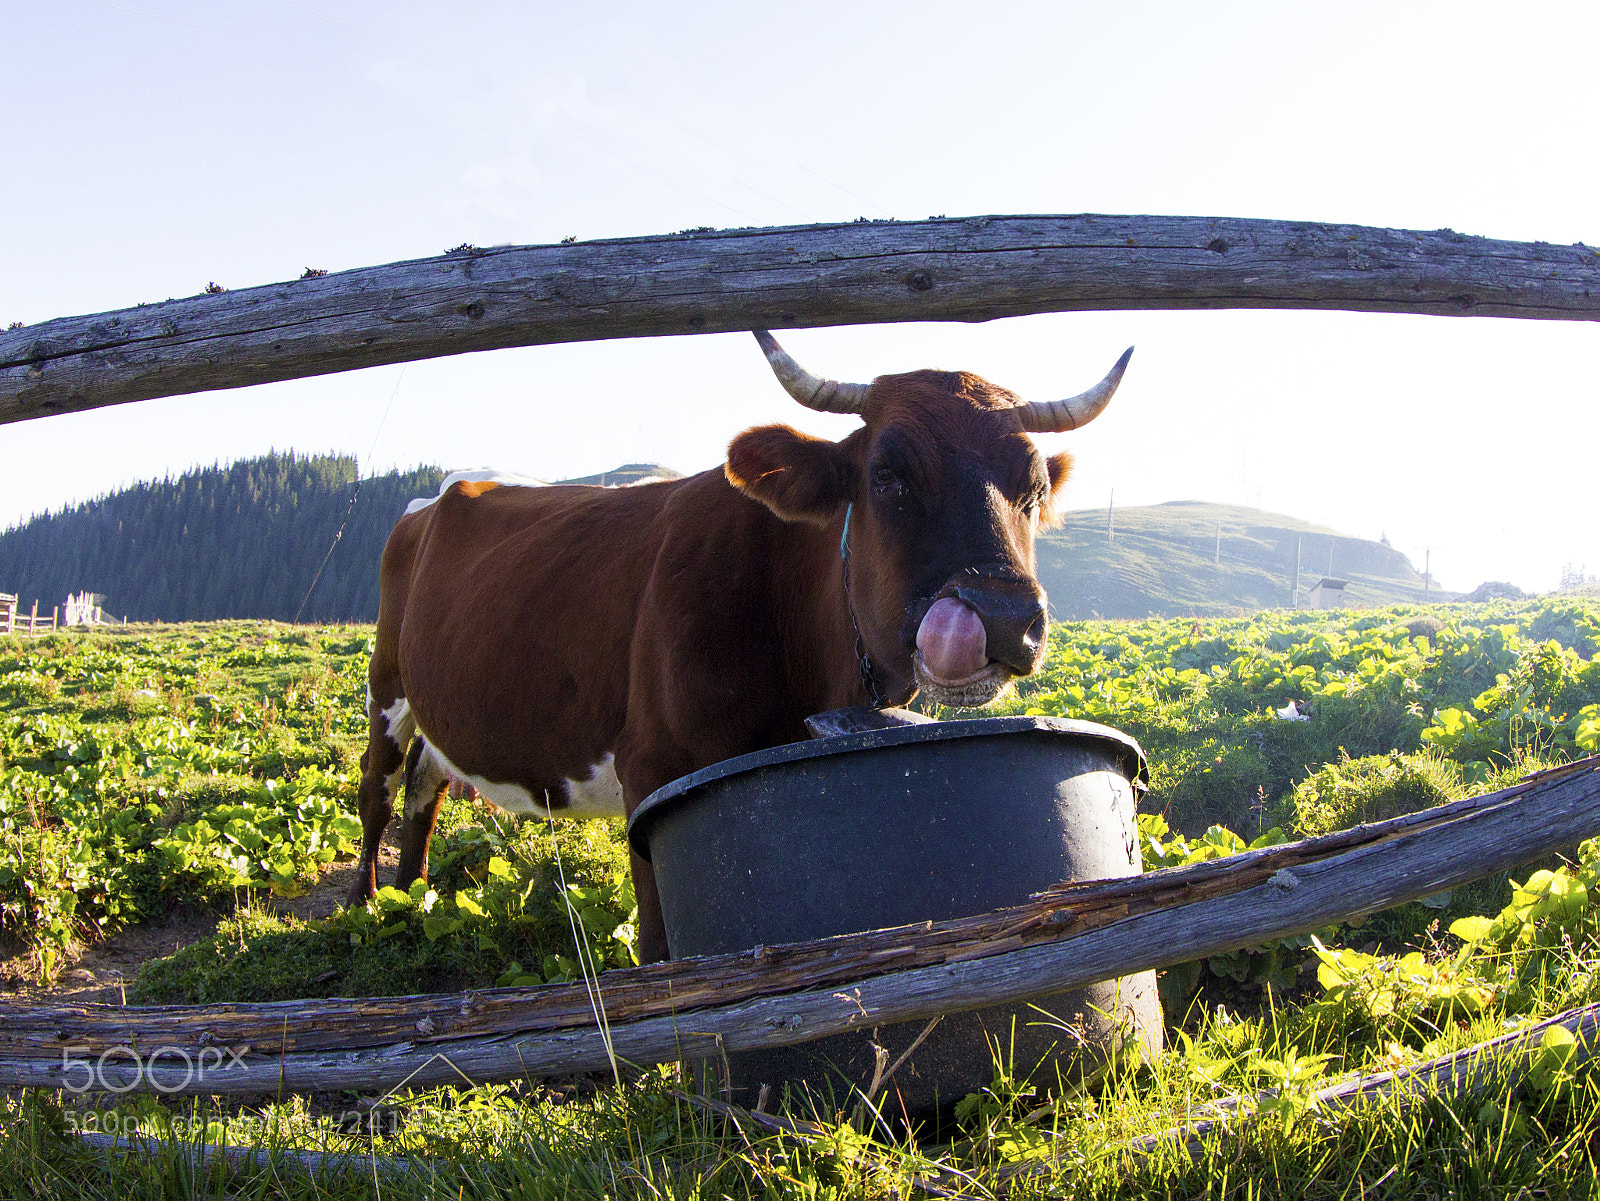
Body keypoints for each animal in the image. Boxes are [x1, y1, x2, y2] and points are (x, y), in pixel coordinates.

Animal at [350, 331, 1132, 964]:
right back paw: (365, 905)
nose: (1003, 617)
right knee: (378, 787)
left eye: (1034, 486)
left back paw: (411, 897)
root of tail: (455, 487)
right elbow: (661, 945)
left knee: (425, 787)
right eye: (887, 475)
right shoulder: (650, 766)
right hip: (386, 682)